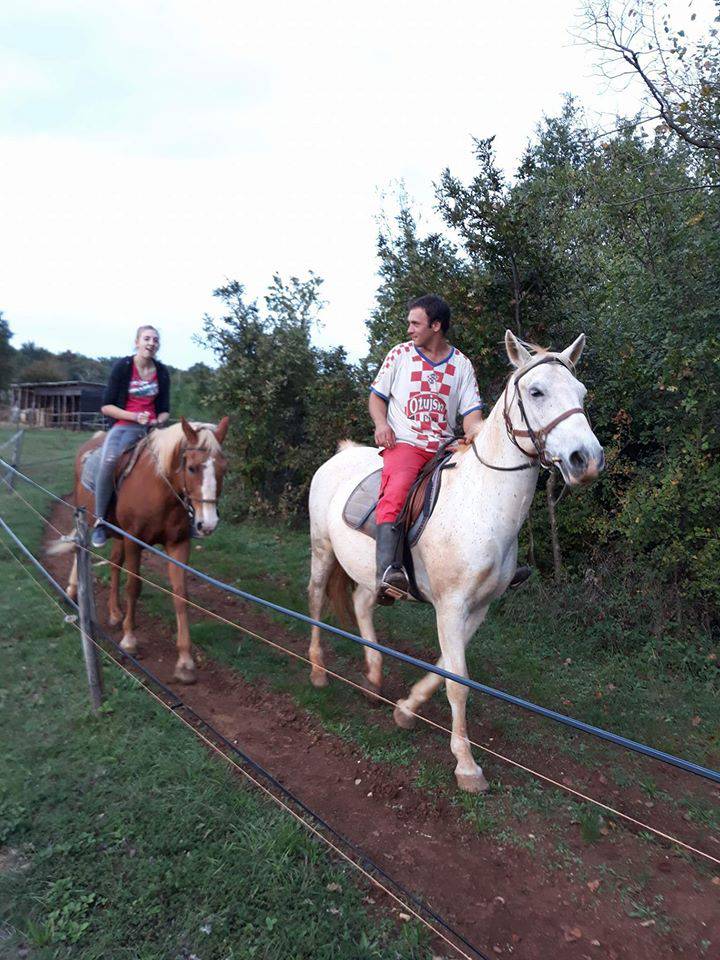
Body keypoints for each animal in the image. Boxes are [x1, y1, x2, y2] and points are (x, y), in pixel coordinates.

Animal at [59, 418, 228, 684]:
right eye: (191, 468)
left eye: (224, 469)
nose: (207, 524)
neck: (160, 488)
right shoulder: (134, 540)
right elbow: (133, 586)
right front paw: (129, 640)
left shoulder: (178, 545)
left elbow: (180, 595)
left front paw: (185, 662)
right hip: (86, 518)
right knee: (80, 548)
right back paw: (72, 591)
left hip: (118, 533)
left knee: (115, 563)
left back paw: (115, 613)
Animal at [306, 334, 604, 792]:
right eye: (537, 392)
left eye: (582, 394)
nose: (585, 460)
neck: (482, 501)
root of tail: (339, 456)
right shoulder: (450, 605)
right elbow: (458, 682)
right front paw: (466, 765)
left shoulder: (477, 608)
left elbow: (449, 665)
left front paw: (405, 709)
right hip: (322, 551)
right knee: (317, 600)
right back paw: (318, 670)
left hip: (374, 575)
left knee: (360, 604)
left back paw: (373, 678)